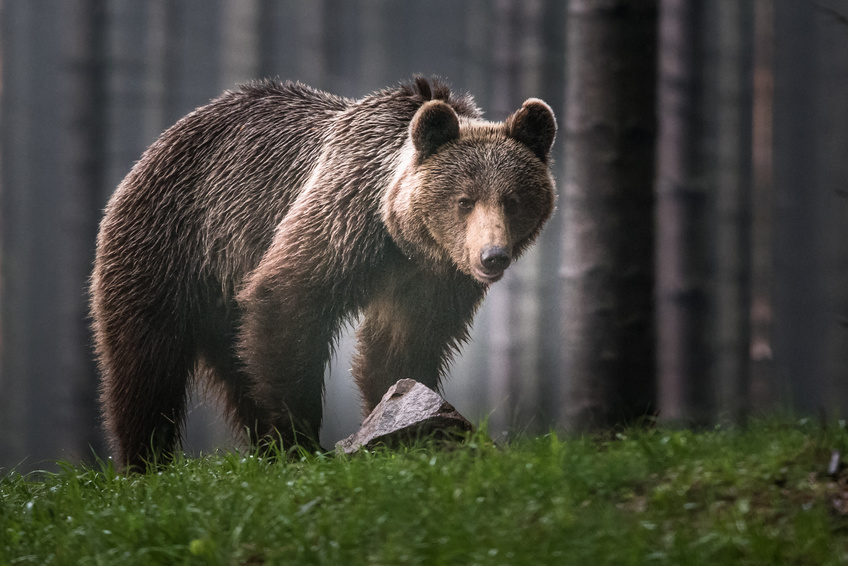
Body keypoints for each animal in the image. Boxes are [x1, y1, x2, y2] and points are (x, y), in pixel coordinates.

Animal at [91, 77, 556, 472]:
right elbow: (289, 303)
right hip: (173, 244)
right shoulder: (342, 221)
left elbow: (402, 345)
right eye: (464, 200)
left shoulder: (433, 281)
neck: (402, 239)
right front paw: (301, 441)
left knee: (236, 363)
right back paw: (146, 460)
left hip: (220, 294)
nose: (492, 256)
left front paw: (404, 420)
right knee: (146, 362)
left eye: (512, 200)